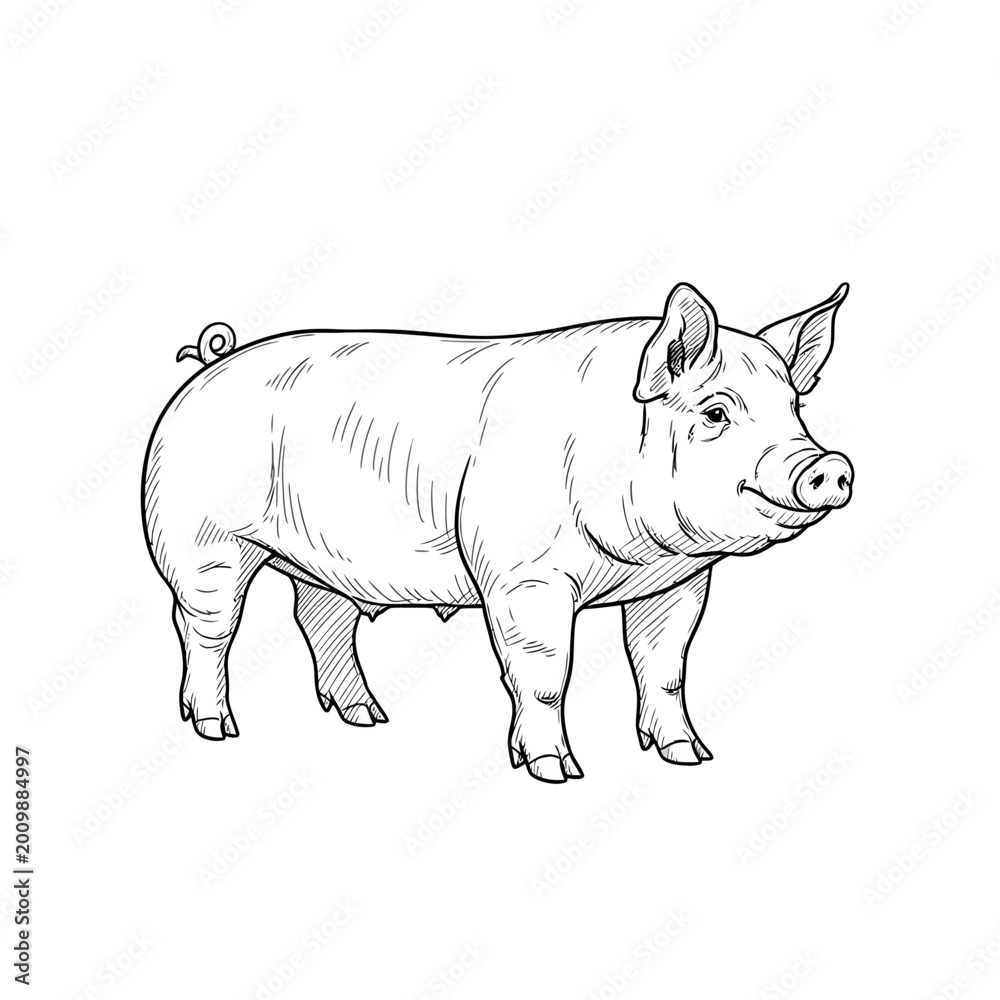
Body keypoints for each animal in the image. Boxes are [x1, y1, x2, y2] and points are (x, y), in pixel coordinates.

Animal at [142, 281, 853, 783]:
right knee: (206, 629)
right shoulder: (523, 577)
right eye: (715, 413)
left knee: (321, 620)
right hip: (203, 543)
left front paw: (688, 756)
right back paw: (217, 729)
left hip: (324, 558)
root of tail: (209, 364)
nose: (827, 465)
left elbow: (665, 666)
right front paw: (557, 773)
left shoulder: (677, 585)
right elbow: (543, 674)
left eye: (796, 407)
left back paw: (369, 716)